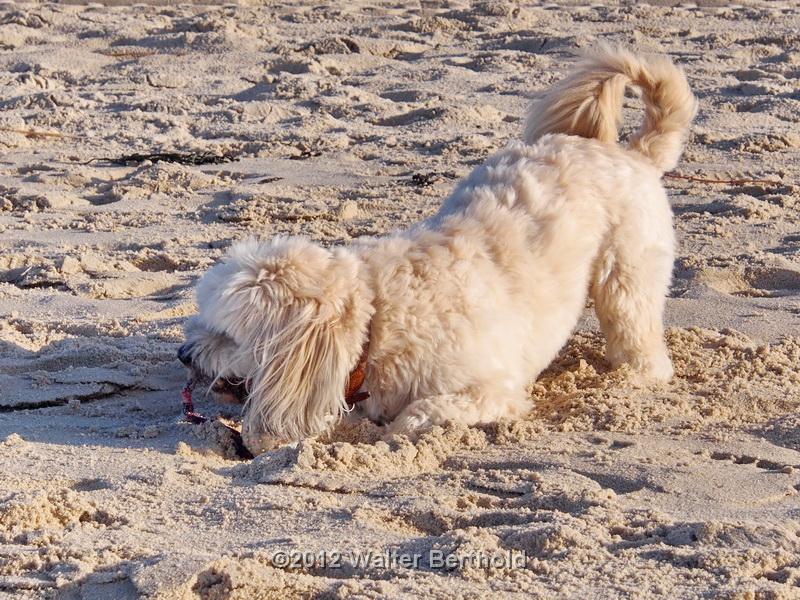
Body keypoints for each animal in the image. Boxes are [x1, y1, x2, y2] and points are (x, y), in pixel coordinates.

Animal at [180, 48, 692, 454]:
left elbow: (418, 414)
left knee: (640, 340)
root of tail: (631, 153)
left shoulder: (492, 390)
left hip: (627, 279)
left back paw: (634, 377)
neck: (376, 318)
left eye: (227, 333)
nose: (184, 355)